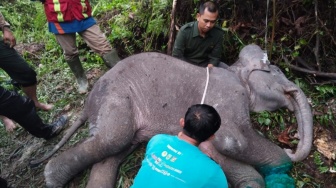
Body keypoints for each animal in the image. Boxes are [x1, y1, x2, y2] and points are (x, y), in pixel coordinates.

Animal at [31, 44, 312, 188]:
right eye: (276, 71)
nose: (291, 144)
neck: (235, 70)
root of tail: (86, 104)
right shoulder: (229, 96)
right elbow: (234, 142)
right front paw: (283, 162)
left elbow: (218, 148)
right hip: (116, 98)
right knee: (112, 140)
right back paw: (51, 179)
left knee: (110, 154)